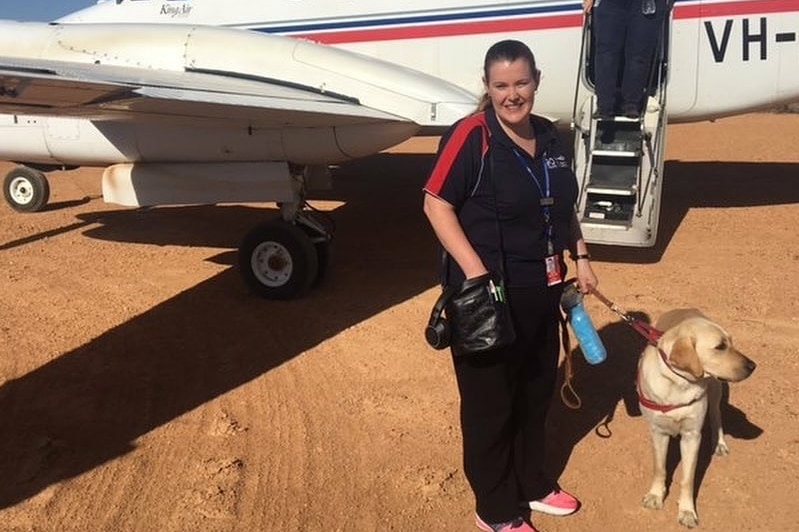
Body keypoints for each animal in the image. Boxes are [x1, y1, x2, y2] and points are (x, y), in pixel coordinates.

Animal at [636, 308, 756, 528]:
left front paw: (687, 511)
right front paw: (655, 495)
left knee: (716, 416)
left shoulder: (692, 436)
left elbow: (688, 478)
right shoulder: (658, 432)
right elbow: (659, 468)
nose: (753, 365)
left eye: (731, 342)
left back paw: (719, 444)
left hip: (715, 389)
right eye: (720, 346)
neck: (677, 383)